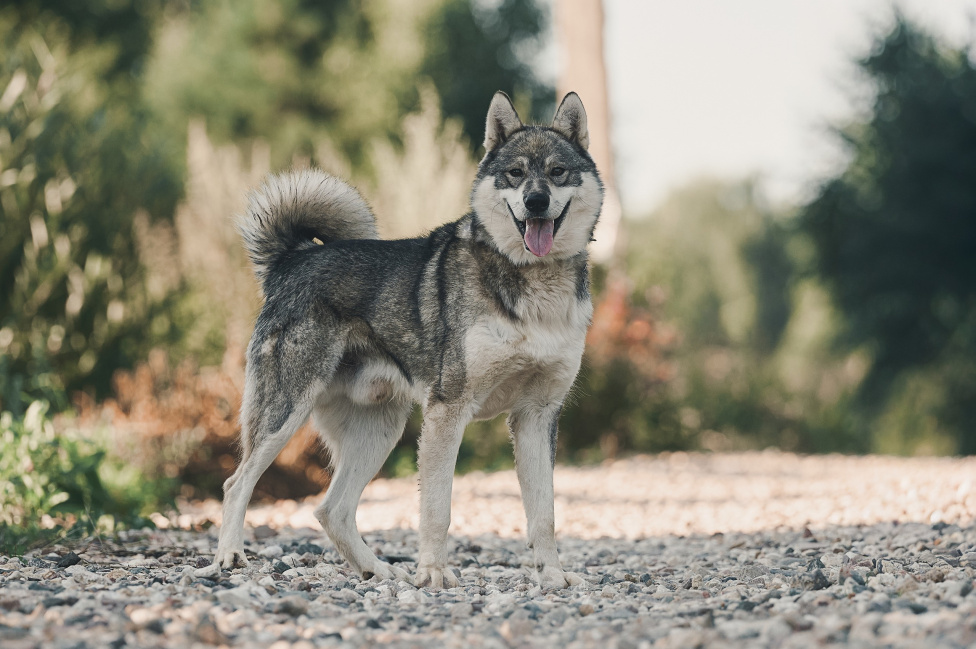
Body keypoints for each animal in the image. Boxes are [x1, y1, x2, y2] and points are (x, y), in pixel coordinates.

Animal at [200, 91, 603, 588]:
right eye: (515, 173)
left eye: (557, 172)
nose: (535, 201)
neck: (533, 285)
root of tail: (292, 259)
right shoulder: (448, 411)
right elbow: (437, 510)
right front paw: (433, 573)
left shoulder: (537, 417)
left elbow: (544, 513)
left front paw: (553, 576)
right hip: (283, 416)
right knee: (237, 483)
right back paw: (230, 556)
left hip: (379, 430)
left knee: (331, 509)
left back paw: (375, 570)